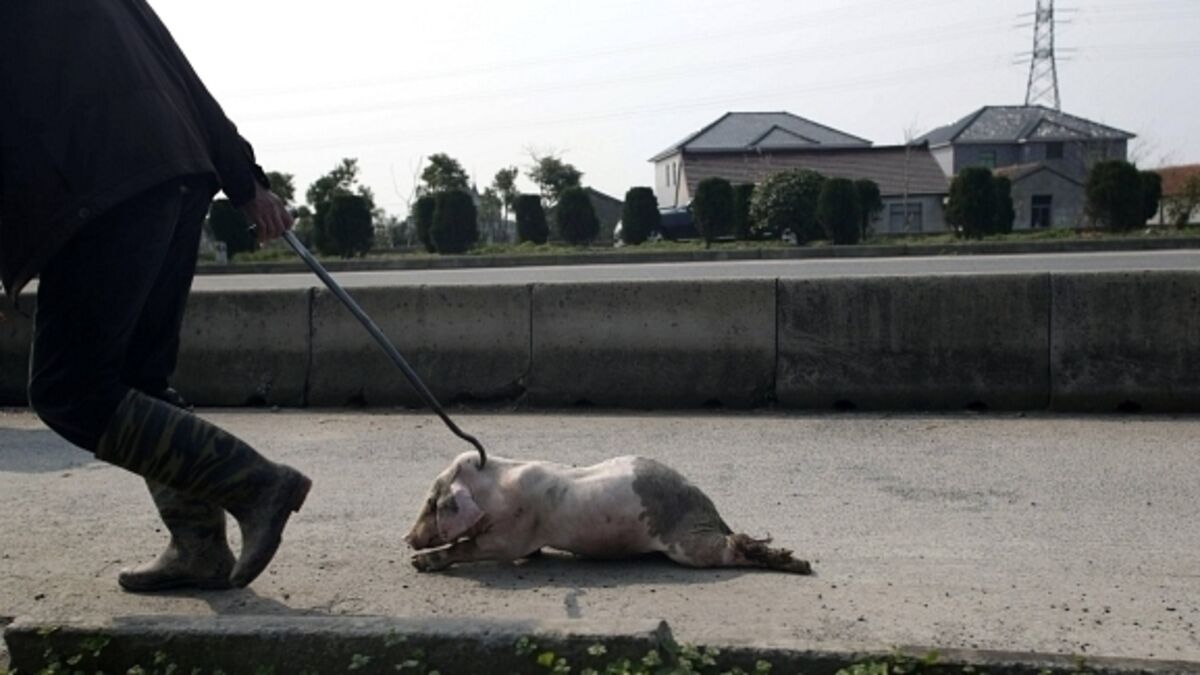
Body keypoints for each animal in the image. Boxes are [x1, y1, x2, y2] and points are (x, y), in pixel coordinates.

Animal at [404, 452, 812, 575]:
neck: (494, 492)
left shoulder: (512, 535)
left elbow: (468, 548)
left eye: (431, 502)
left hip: (687, 544)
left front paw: (419, 564)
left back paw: (800, 564)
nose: (406, 538)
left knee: (733, 545)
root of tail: (708, 508)